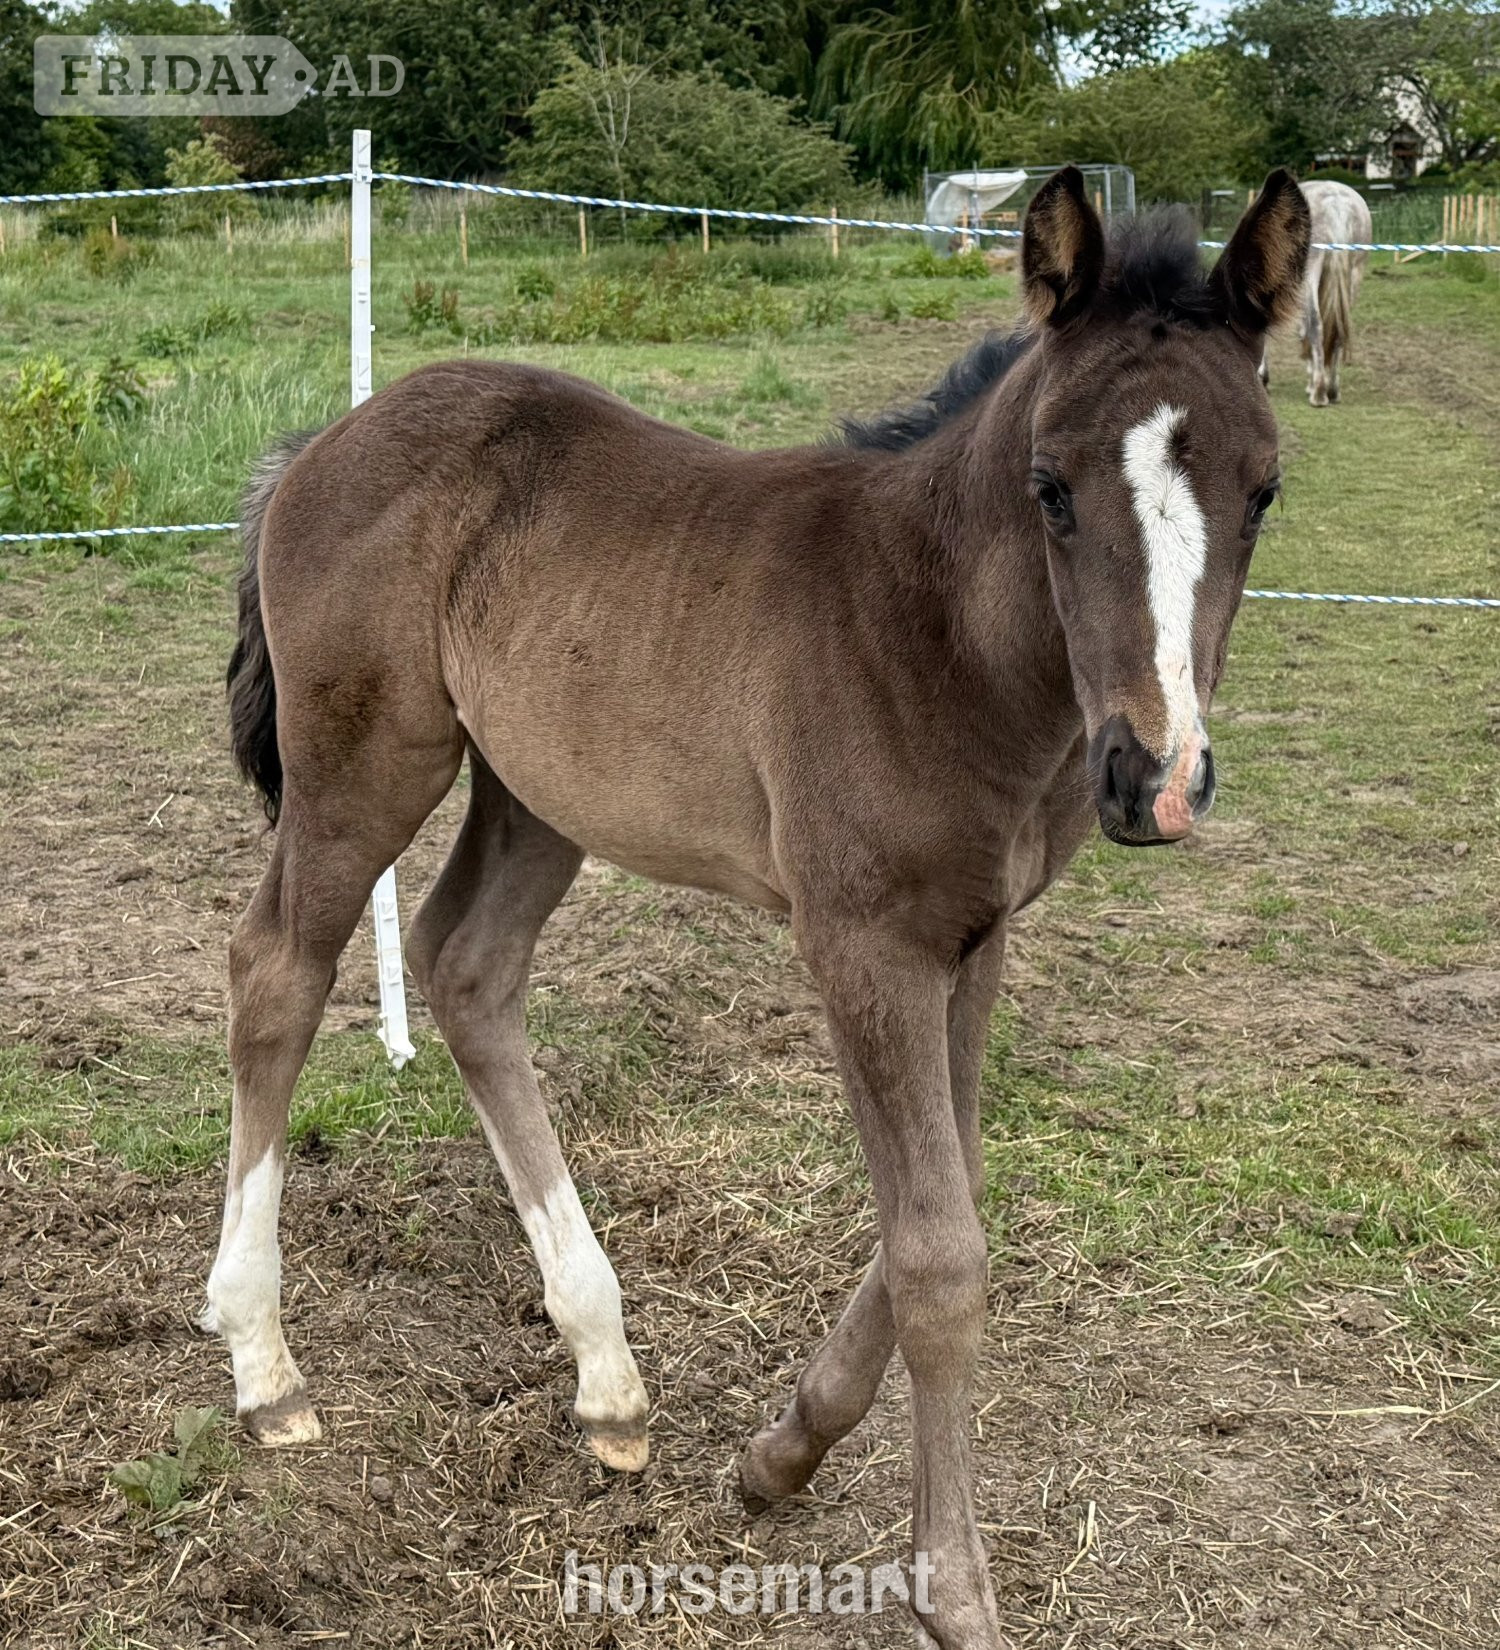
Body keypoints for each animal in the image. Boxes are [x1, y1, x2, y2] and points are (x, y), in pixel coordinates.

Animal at [205, 167, 1309, 1650]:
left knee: (466, 964)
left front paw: (781, 1450)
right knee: (277, 968)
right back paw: (267, 1368)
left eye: (1264, 489)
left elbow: (943, 1206)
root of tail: (327, 439)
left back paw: (607, 1377)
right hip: (366, 766)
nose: (1156, 777)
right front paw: (953, 1588)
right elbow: (939, 1258)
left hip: (539, 789)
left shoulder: (976, 939)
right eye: (1052, 489)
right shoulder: (861, 945)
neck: (935, 634)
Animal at [1259, 178, 1370, 406]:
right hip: (1354, 274)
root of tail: (1336, 205)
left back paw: (1318, 392)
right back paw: (1332, 390)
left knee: (1316, 325)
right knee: (1339, 328)